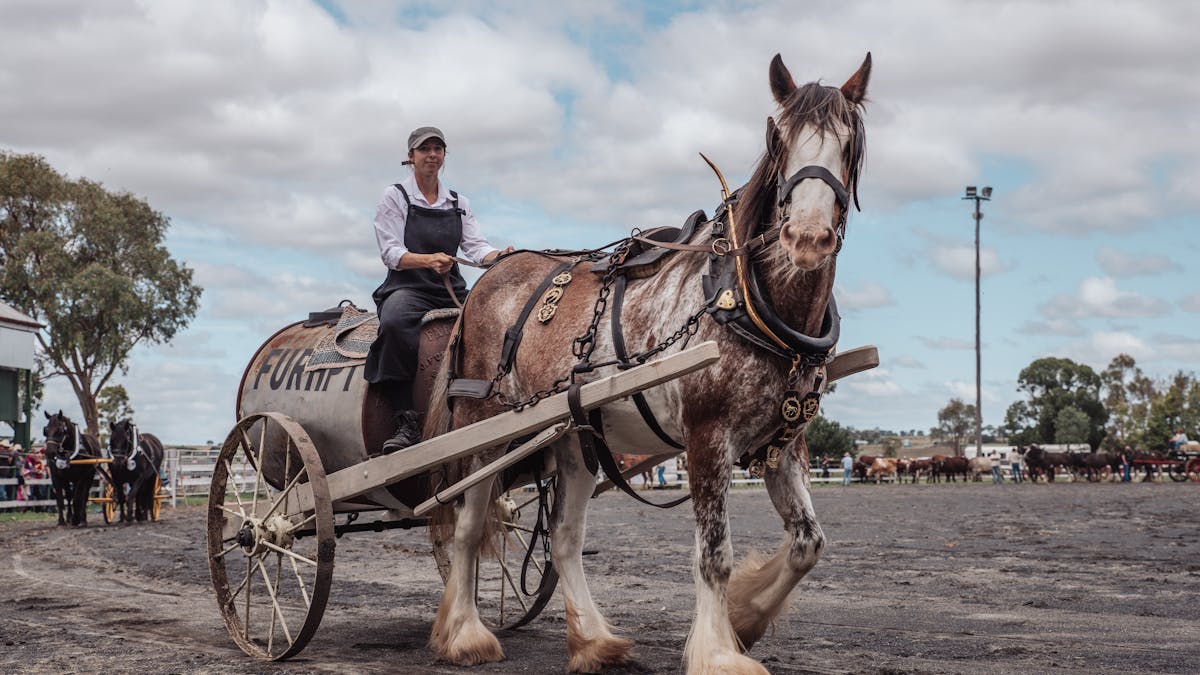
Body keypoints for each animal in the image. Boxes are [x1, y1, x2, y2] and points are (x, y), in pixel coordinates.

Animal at [424, 52, 871, 673]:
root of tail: (485, 281)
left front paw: (744, 619)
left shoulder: (782, 444)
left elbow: (809, 543)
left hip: (574, 438)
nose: (806, 237)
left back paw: (593, 640)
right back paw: (466, 632)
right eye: (778, 139)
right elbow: (714, 554)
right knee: (468, 528)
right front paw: (719, 651)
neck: (743, 300)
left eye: (850, 143)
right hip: (482, 430)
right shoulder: (707, 438)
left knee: (563, 538)